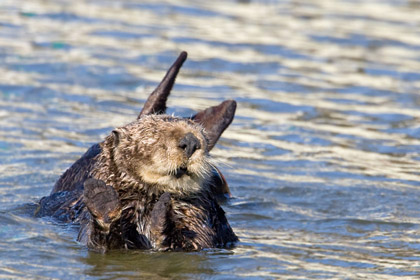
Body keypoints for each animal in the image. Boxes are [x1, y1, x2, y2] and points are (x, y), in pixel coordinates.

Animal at [36, 50, 238, 252]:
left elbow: (194, 243)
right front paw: (103, 202)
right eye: (154, 132)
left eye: (202, 135)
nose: (190, 141)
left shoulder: (199, 217)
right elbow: (101, 242)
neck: (148, 200)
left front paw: (162, 215)